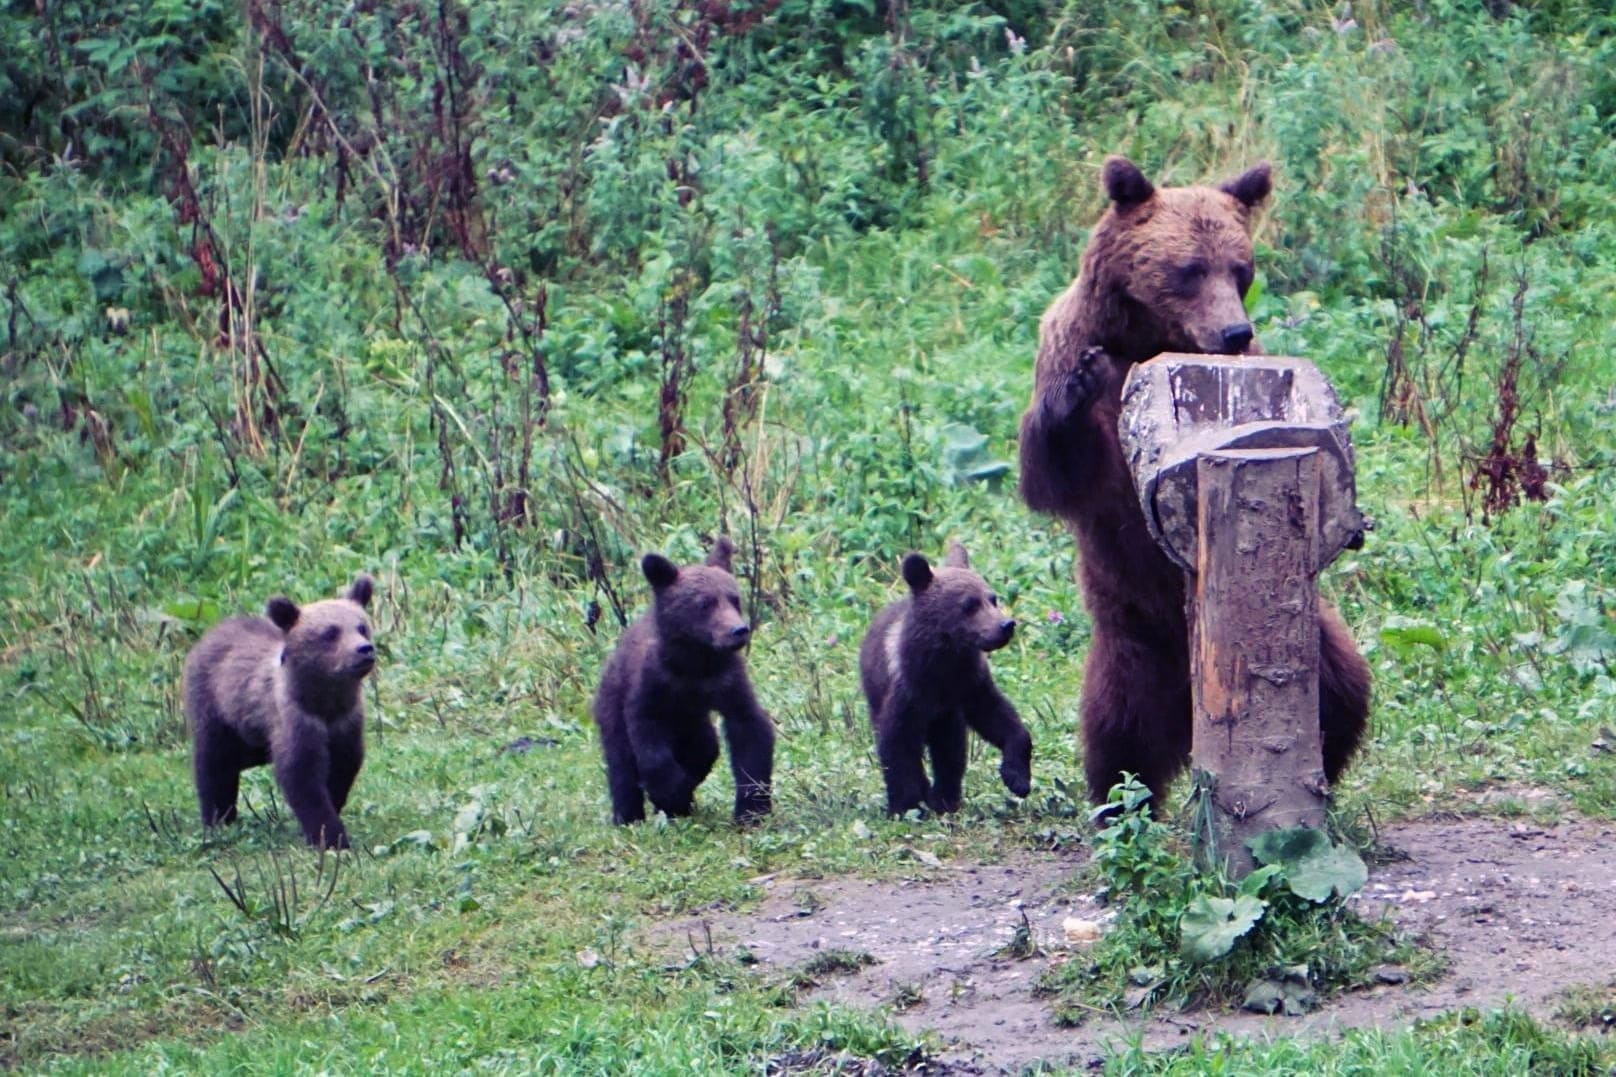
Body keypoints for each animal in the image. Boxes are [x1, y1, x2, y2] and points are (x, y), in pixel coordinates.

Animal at [183, 575, 377, 849]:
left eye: (361, 626)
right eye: (330, 632)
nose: (364, 649)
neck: (325, 704)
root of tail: (208, 635)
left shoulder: (346, 724)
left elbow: (342, 769)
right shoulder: (295, 721)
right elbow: (301, 776)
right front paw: (332, 836)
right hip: (214, 711)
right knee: (214, 765)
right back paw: (218, 819)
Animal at [592, 537, 775, 825]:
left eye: (734, 599)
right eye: (705, 603)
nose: (739, 630)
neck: (696, 662)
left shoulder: (727, 683)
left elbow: (750, 730)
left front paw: (751, 809)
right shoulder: (652, 685)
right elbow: (648, 741)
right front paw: (670, 793)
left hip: (691, 720)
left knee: (705, 746)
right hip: (612, 701)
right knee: (620, 760)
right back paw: (628, 815)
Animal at [858, 542, 1032, 815]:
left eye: (992, 598)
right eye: (969, 604)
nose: (1006, 625)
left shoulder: (970, 685)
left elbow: (999, 719)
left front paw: (1017, 777)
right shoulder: (908, 692)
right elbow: (896, 745)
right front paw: (906, 804)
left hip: (947, 718)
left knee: (949, 749)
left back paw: (945, 797)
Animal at [1017, 155, 1371, 806]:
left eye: (1241, 268)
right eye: (1189, 269)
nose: (1233, 331)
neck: (1147, 338)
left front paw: (1356, 523)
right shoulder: (1070, 350)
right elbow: (1056, 477)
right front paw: (1073, 391)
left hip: (1315, 637)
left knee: (1343, 694)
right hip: (1129, 645)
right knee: (1116, 735)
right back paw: (1119, 805)